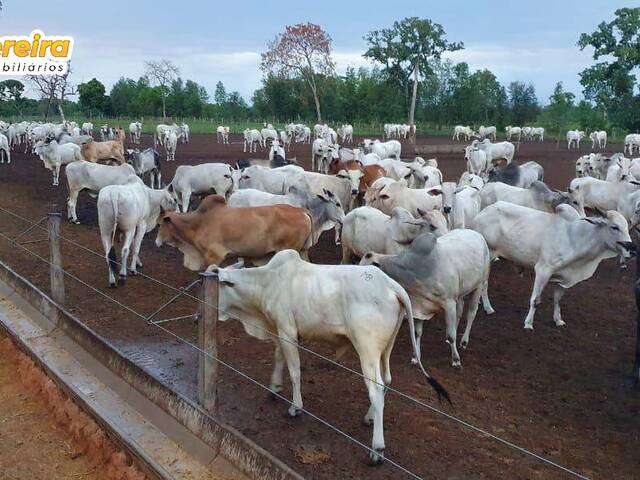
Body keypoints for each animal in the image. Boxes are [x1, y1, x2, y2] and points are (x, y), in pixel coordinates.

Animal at [156, 195, 314, 270]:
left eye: (159, 224)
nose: (156, 242)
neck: (199, 222)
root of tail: (301, 210)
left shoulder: (213, 257)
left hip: (288, 250)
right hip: (303, 251)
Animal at [472, 202, 632, 330]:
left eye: (626, 227)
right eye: (614, 227)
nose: (632, 249)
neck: (575, 237)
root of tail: (483, 212)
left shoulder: (564, 276)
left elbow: (557, 299)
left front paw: (558, 320)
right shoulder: (543, 270)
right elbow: (535, 300)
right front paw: (528, 323)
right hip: (489, 256)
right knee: (484, 283)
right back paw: (488, 308)